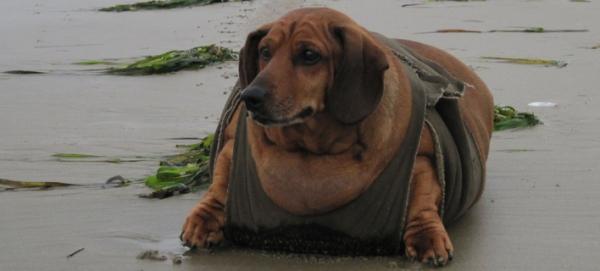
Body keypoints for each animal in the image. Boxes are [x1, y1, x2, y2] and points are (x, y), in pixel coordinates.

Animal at [182, 7, 492, 268]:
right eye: (264, 51)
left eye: (309, 54)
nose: (251, 97)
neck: (312, 148)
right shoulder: (230, 148)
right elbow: (219, 184)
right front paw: (203, 219)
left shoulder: (424, 159)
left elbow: (423, 199)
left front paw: (427, 236)